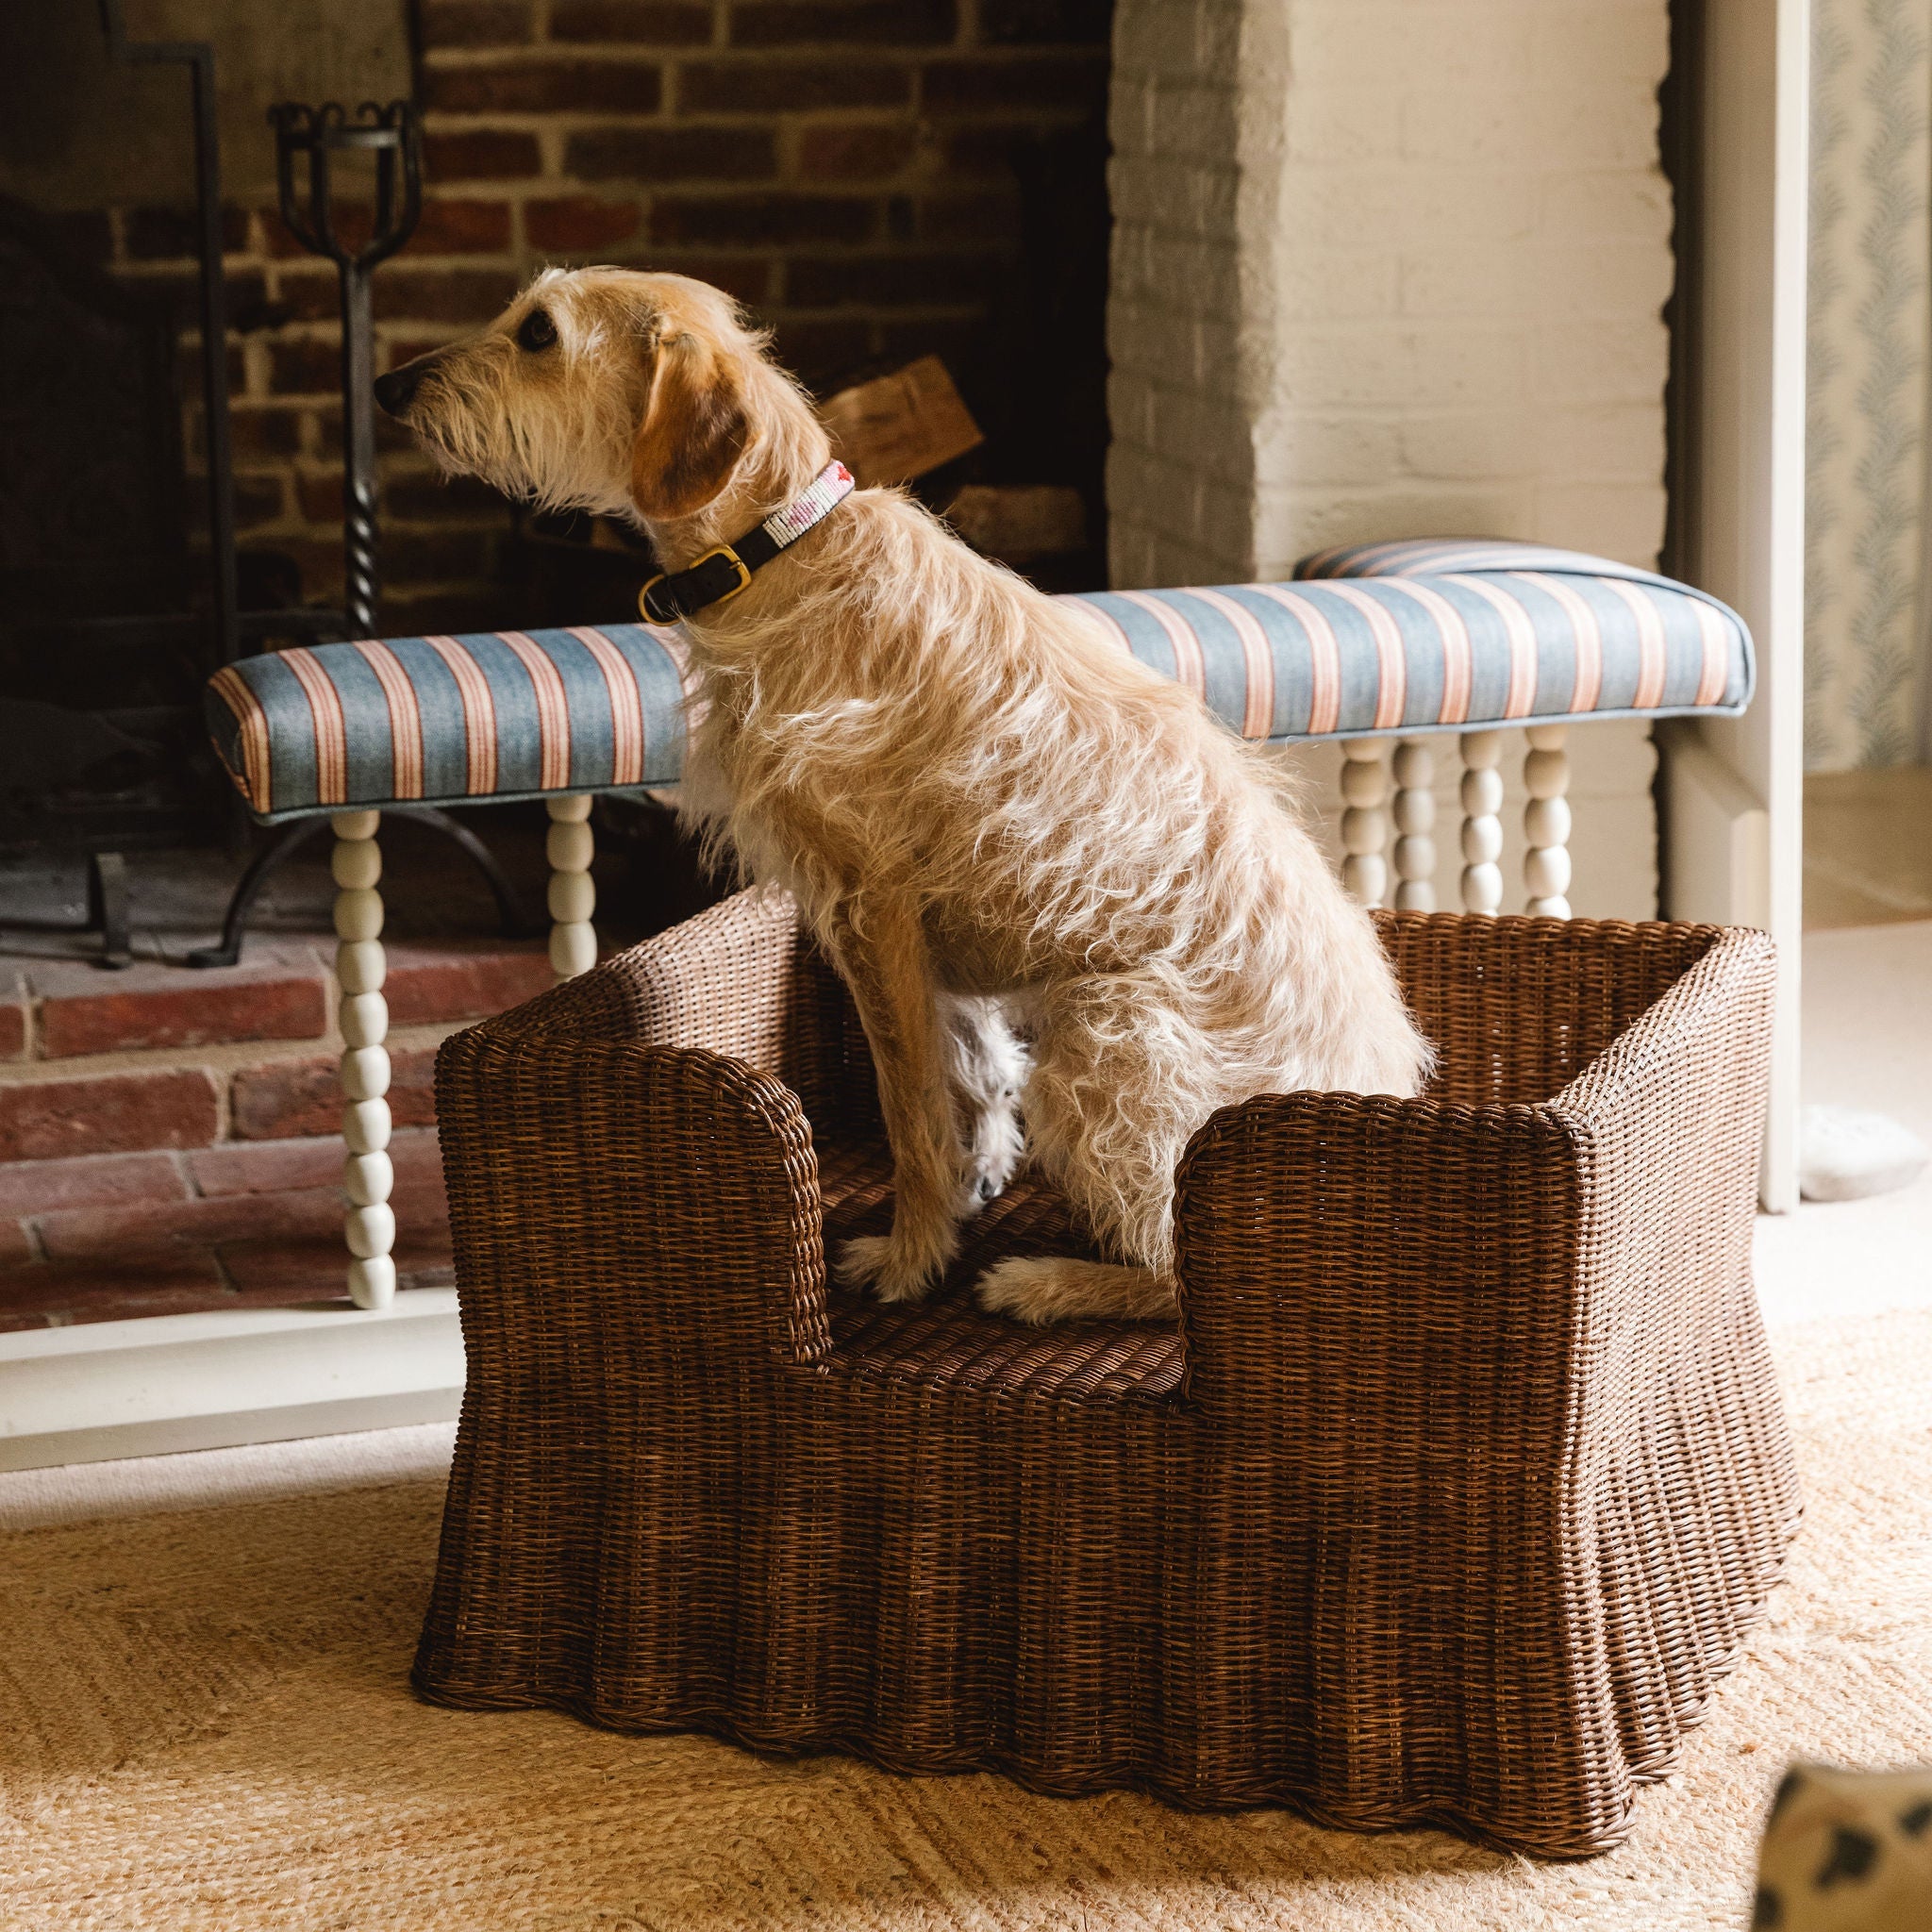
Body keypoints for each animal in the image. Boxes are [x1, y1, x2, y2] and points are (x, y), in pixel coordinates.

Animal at [380, 272, 1437, 1321]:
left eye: (538, 334)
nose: (389, 387)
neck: (782, 548)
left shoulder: (871, 909)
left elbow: (912, 1111)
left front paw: (910, 1257)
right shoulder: (924, 951)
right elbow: (969, 1075)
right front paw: (975, 1185)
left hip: (1106, 1028)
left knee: (1182, 1279)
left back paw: (1047, 1282)